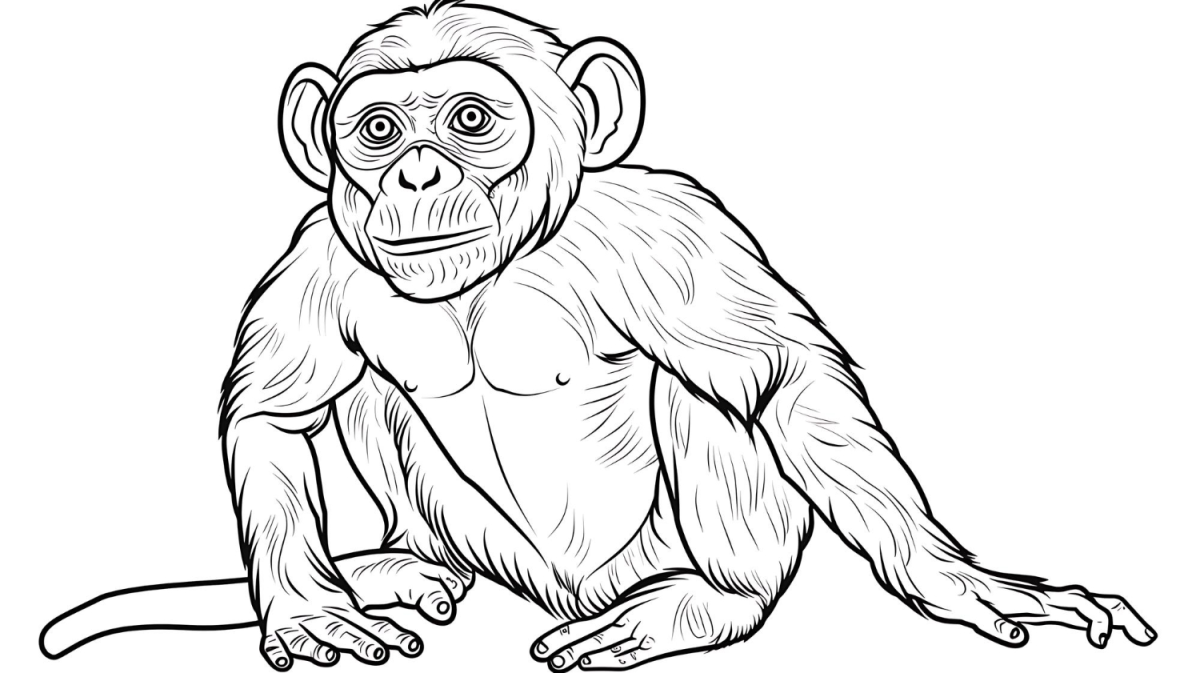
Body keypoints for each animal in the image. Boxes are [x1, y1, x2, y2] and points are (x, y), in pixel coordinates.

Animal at [40, 2, 1155, 670]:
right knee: (373, 413)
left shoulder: (666, 225)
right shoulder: (321, 256)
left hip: (657, 559)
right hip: (472, 535)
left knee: (698, 398)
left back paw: (703, 606)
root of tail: (558, 589)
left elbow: (785, 379)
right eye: (379, 131)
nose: (415, 176)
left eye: (471, 119)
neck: (494, 273)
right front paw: (310, 609)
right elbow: (274, 414)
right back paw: (400, 567)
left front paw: (957, 582)